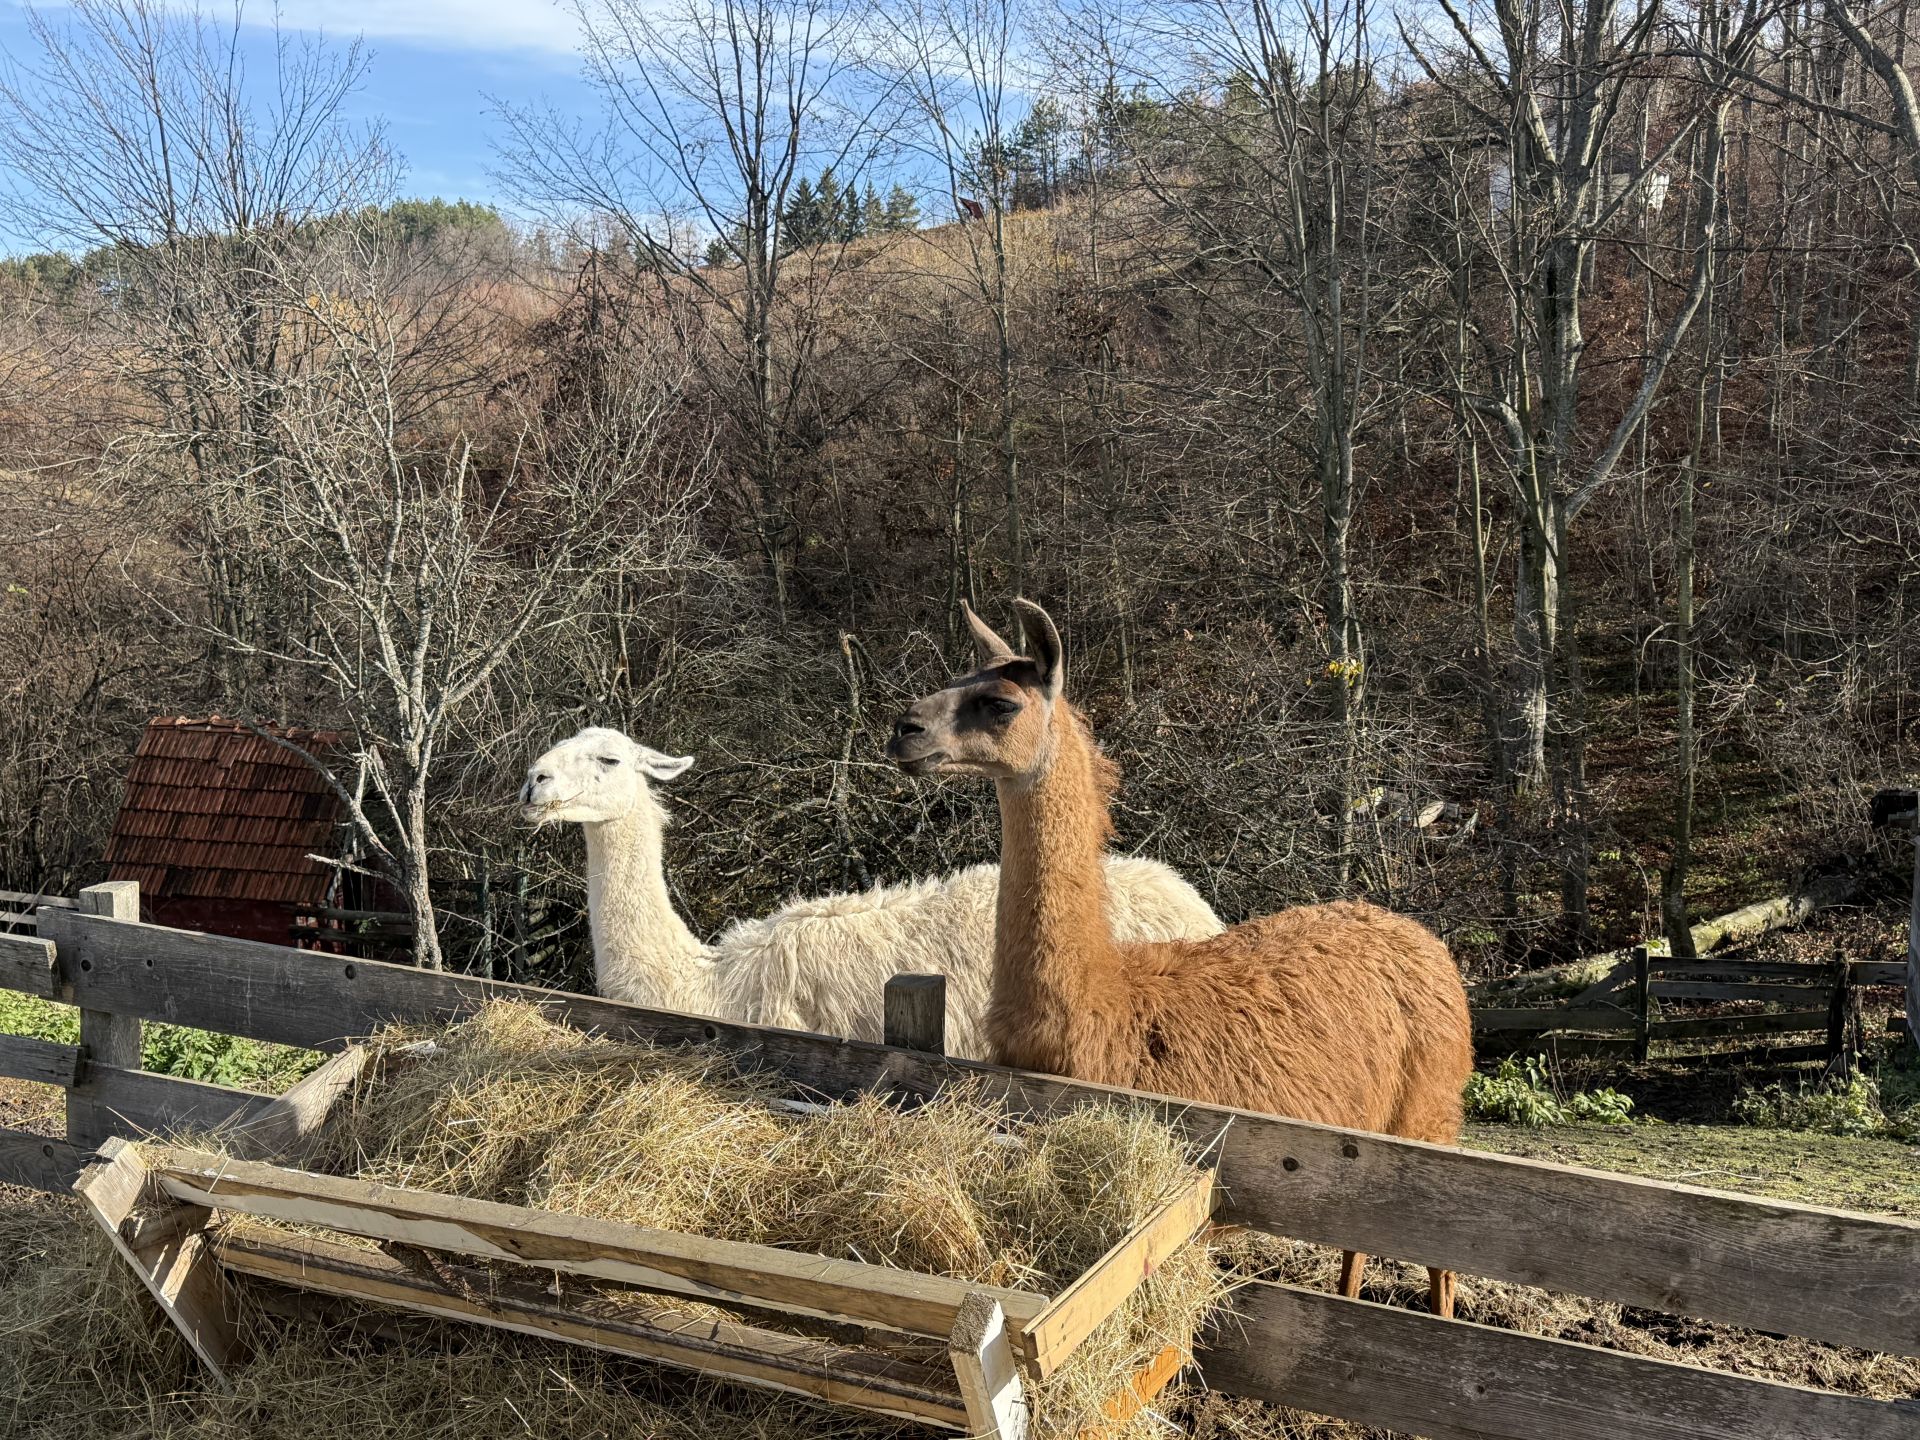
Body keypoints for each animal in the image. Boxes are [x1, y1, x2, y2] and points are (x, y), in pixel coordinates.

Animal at [884, 601, 1474, 1316]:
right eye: (955, 678)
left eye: (999, 702)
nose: (904, 729)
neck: (1104, 1004)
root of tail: (1419, 935)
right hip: (1365, 1132)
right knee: (1358, 1236)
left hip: (1430, 1115)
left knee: (1439, 1258)